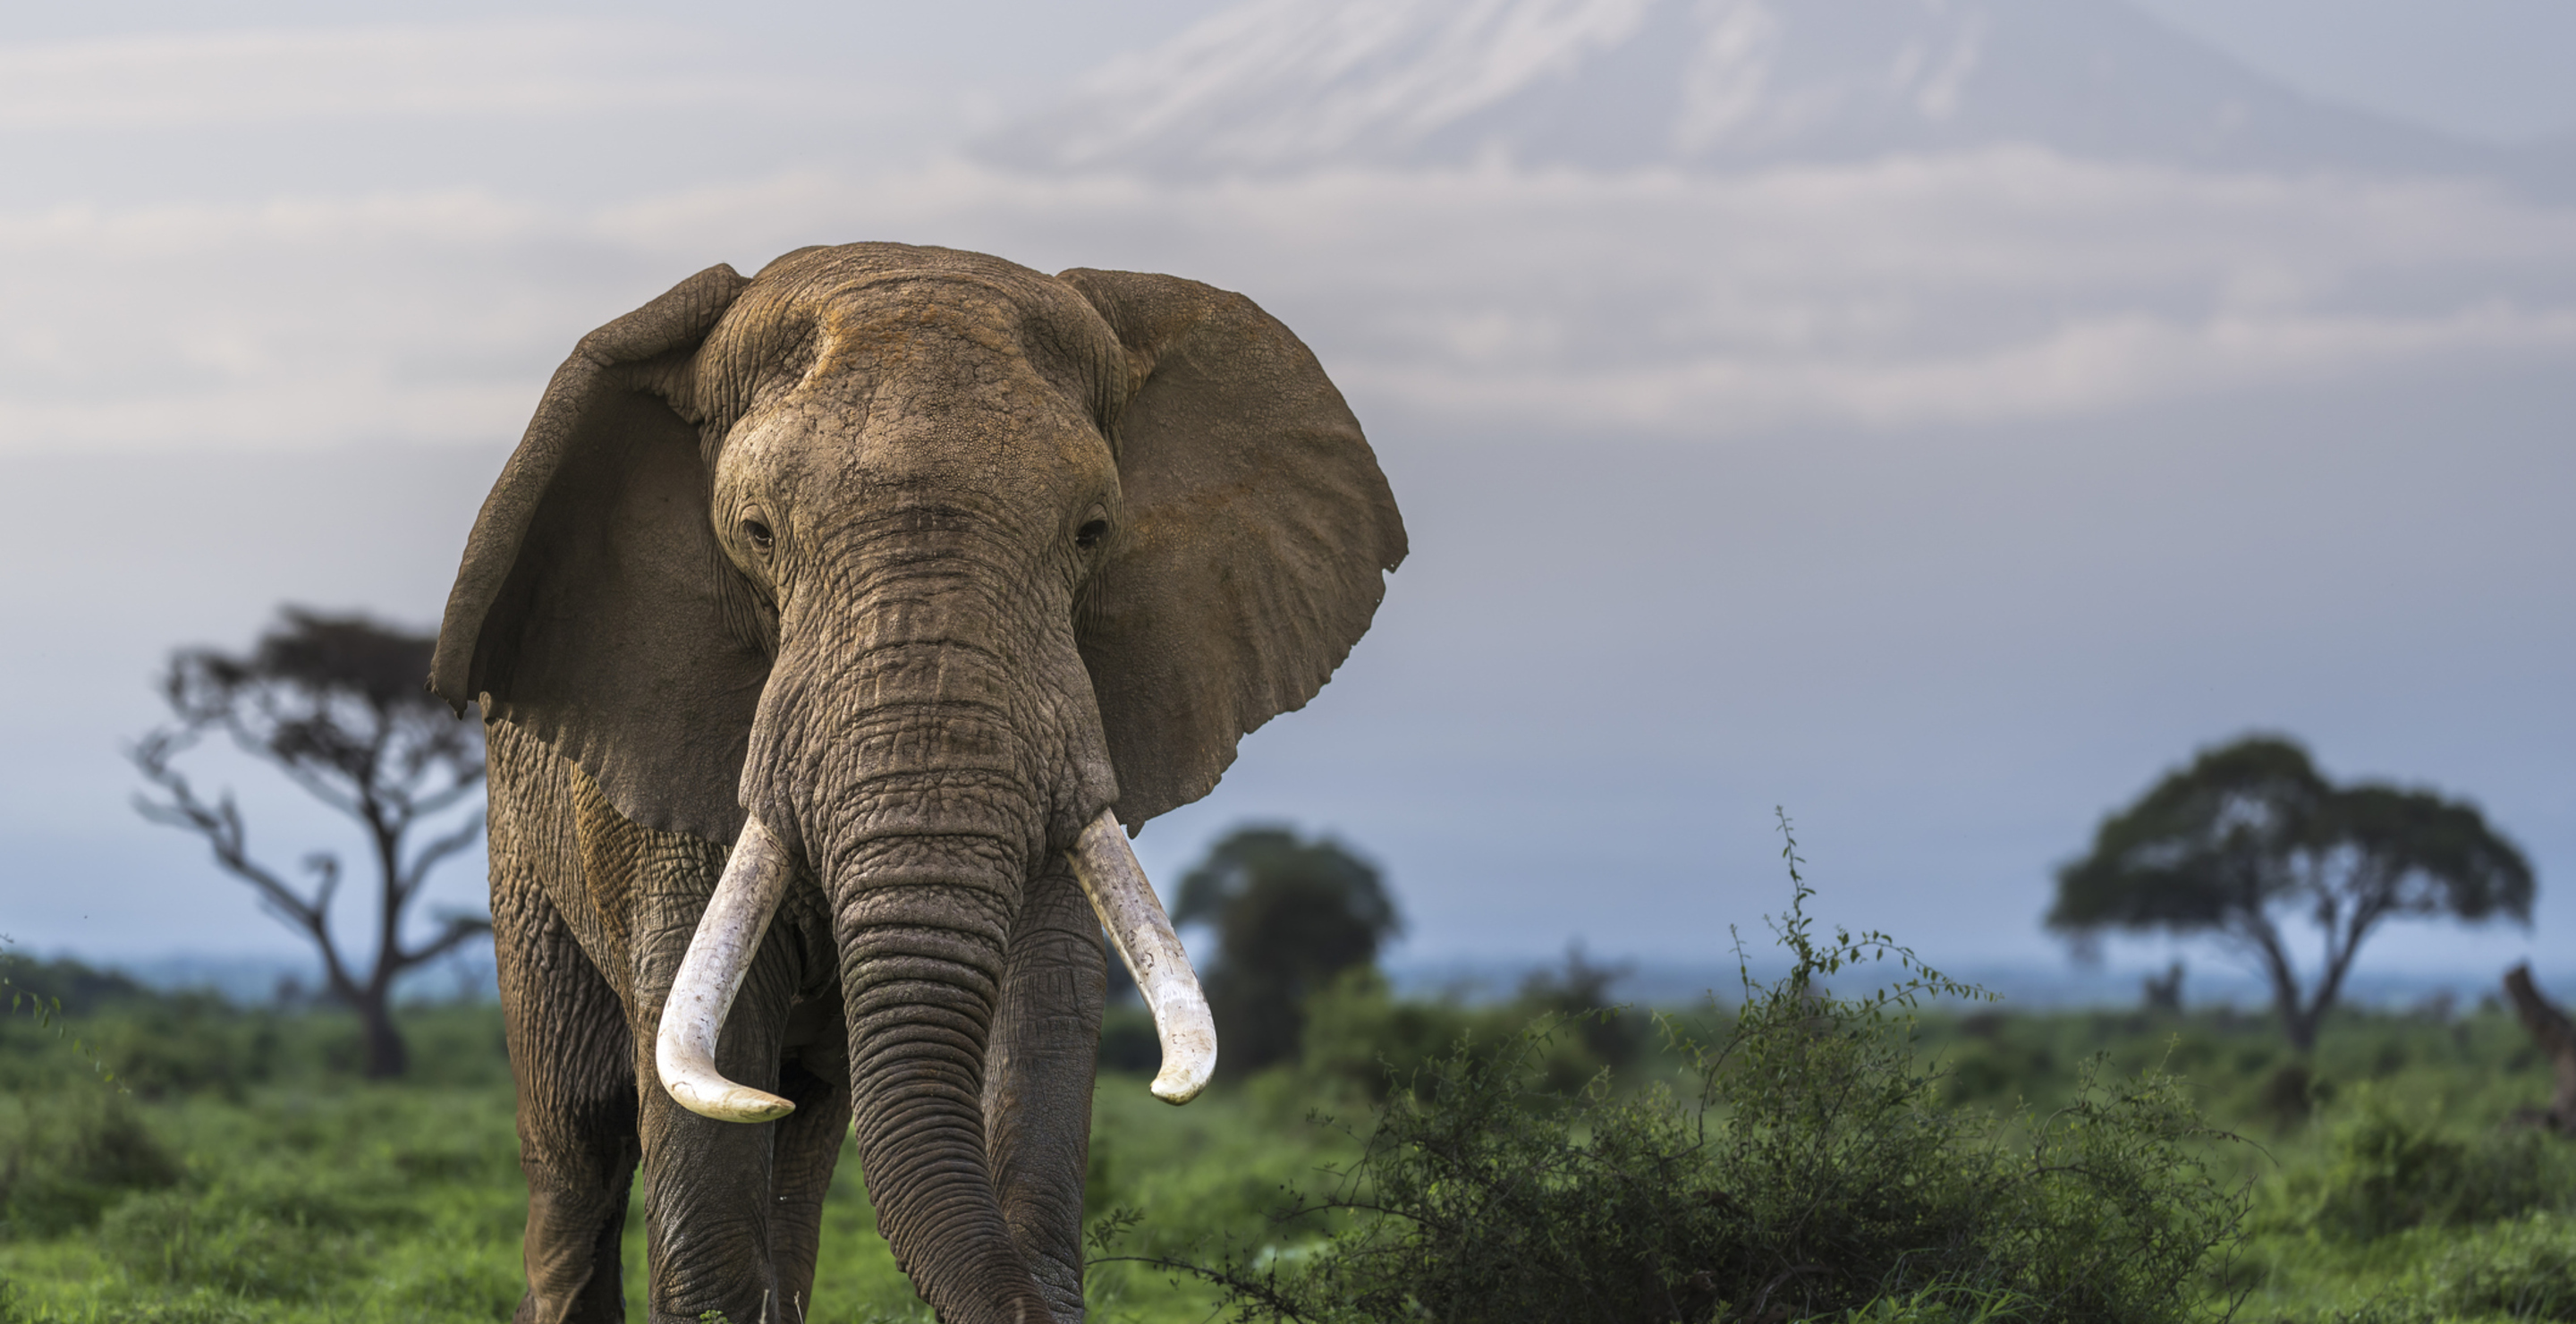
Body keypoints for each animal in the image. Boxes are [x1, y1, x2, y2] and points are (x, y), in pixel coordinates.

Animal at [428, 242, 1405, 1324]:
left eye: (1092, 532)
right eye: (758, 533)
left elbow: (1040, 1020)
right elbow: (707, 1093)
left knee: (804, 1133)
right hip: (524, 850)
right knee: (580, 1139)